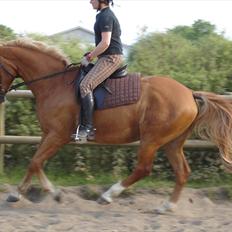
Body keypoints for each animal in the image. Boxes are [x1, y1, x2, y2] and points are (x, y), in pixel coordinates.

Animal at [0, 38, 232, 214]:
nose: (1, 97)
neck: (54, 84)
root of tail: (190, 94)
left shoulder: (58, 135)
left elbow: (36, 162)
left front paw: (55, 194)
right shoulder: (47, 134)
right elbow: (34, 162)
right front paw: (16, 194)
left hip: (151, 139)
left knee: (143, 169)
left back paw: (108, 196)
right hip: (172, 142)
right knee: (182, 172)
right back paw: (166, 206)